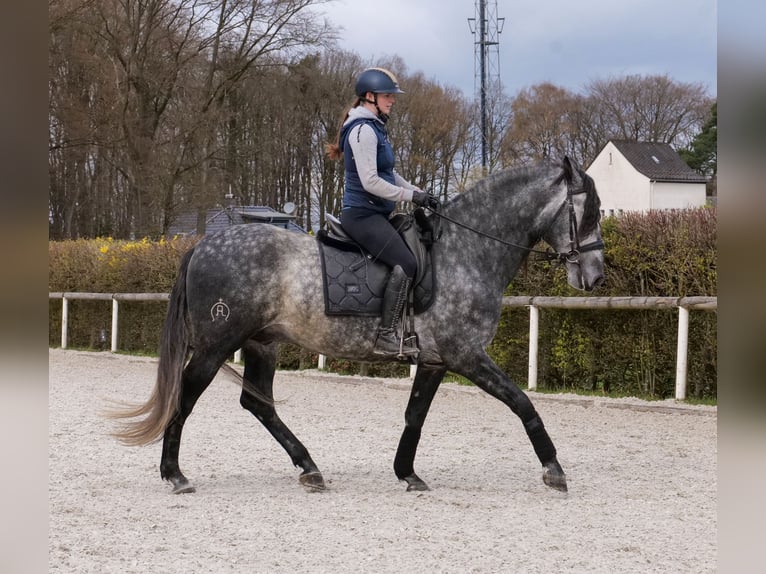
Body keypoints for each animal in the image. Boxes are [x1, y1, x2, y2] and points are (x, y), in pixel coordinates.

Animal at [112, 156, 604, 495]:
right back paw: (175, 475)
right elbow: (522, 403)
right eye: (591, 211)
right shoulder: (466, 354)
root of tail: (203, 244)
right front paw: (554, 469)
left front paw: (407, 473)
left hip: (261, 342)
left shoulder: (434, 360)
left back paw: (309, 468)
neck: (465, 251)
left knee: (258, 404)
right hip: (217, 344)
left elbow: (415, 416)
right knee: (187, 395)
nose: (595, 277)